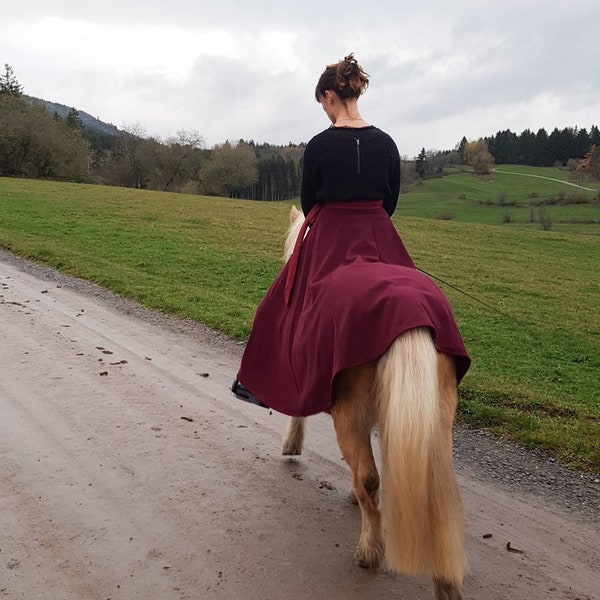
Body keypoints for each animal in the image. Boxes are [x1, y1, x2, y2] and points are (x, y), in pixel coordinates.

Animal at [280, 205, 464, 600]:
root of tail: (412, 318)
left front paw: (292, 443)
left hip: (350, 415)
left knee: (368, 476)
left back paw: (369, 551)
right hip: (437, 419)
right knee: (439, 490)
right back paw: (446, 582)